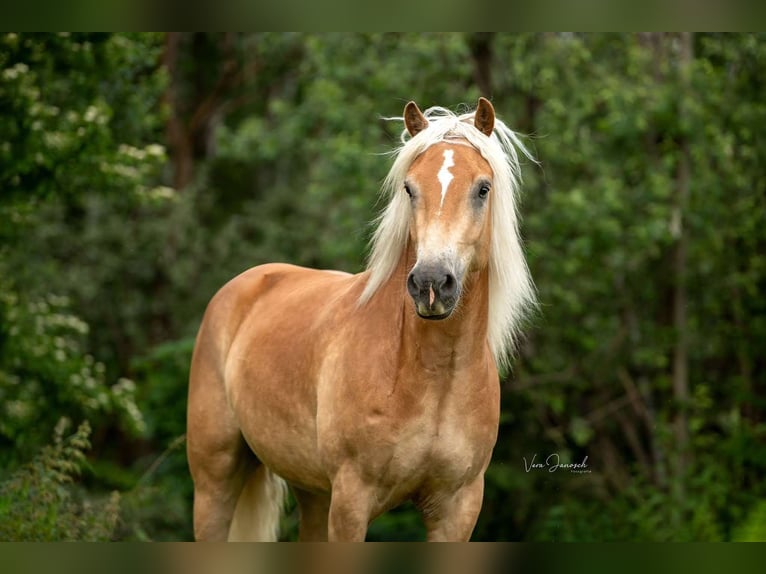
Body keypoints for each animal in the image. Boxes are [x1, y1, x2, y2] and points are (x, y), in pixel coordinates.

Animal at [188, 97, 536, 544]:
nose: (431, 283)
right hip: (215, 481)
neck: (430, 377)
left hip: (313, 493)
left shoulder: (458, 508)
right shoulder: (352, 500)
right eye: (409, 188)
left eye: (482, 188)